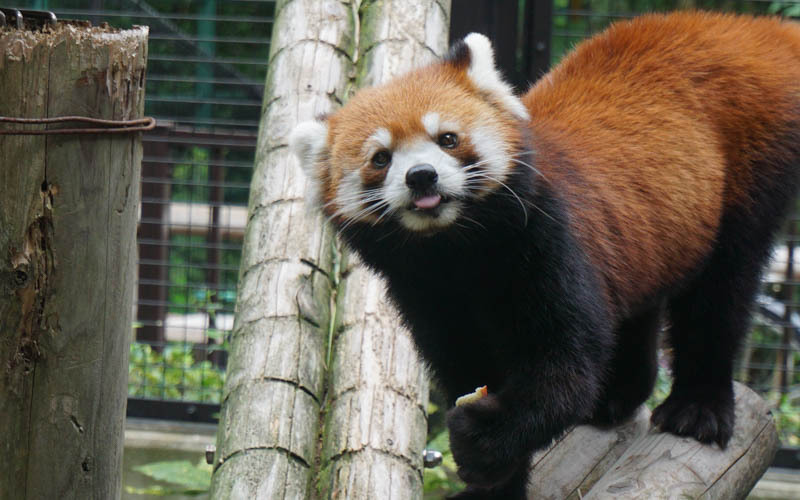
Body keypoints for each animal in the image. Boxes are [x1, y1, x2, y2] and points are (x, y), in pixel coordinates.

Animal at [290, 12, 800, 500]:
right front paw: (495, 487)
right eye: (381, 158)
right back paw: (619, 393)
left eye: (447, 139)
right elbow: (467, 367)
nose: (421, 176)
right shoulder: (428, 297)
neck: (455, 251)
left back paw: (698, 407)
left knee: (721, 291)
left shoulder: (547, 244)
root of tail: (738, 27)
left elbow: (568, 369)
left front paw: (484, 441)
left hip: (750, 162)